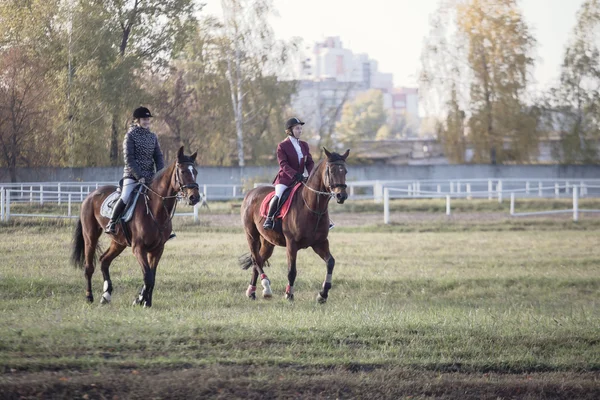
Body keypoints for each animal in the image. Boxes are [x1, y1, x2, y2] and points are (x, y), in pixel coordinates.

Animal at [70, 146, 200, 306]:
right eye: (182, 171)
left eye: (195, 172)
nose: (195, 197)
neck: (154, 208)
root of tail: (89, 196)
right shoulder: (138, 248)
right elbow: (148, 276)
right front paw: (140, 300)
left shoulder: (157, 249)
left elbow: (152, 276)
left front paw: (145, 301)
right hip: (90, 237)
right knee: (89, 267)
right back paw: (89, 297)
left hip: (118, 242)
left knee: (104, 261)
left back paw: (106, 295)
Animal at [239, 148, 350, 302]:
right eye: (332, 171)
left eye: (345, 171)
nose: (341, 196)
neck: (312, 207)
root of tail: (251, 193)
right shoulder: (291, 244)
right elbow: (292, 270)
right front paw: (289, 294)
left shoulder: (320, 243)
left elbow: (330, 262)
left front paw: (323, 294)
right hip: (251, 235)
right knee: (256, 260)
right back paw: (266, 287)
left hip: (268, 242)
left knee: (259, 260)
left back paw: (252, 292)